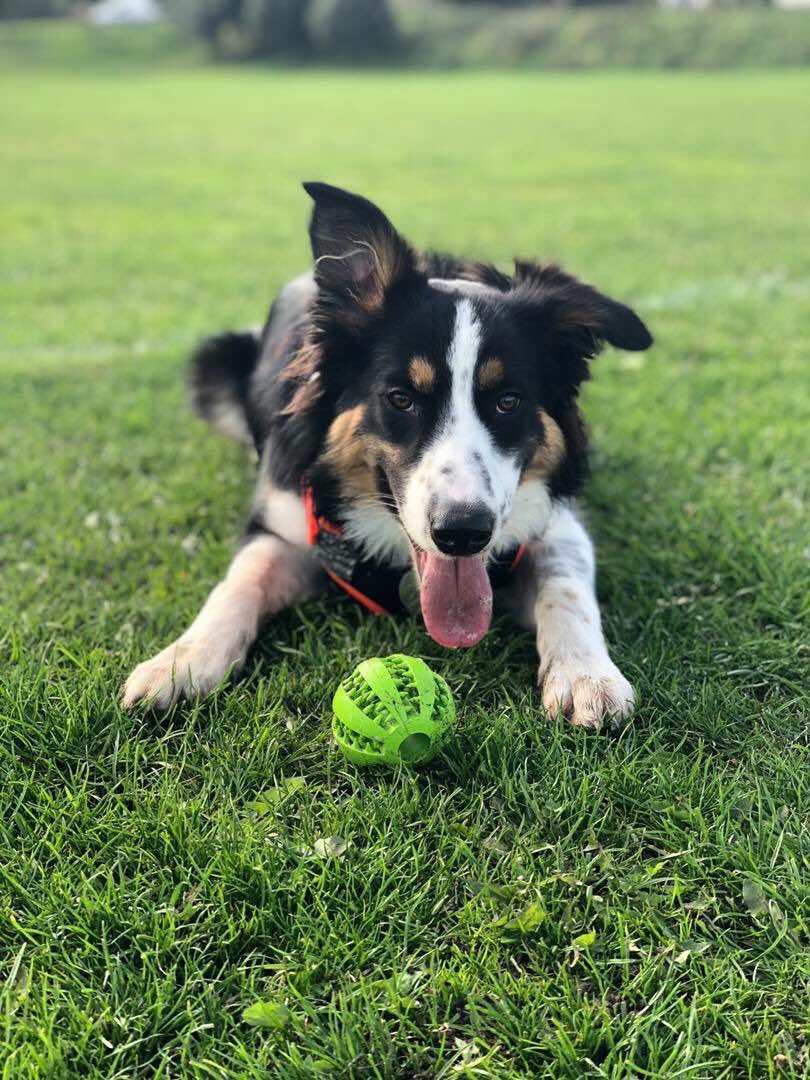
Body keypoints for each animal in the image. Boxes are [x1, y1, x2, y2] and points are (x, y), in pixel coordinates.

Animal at [122, 181, 652, 730]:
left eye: (509, 402)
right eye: (401, 398)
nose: (463, 533)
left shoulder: (556, 522)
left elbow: (566, 583)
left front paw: (586, 674)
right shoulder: (281, 520)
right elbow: (239, 582)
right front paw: (180, 662)